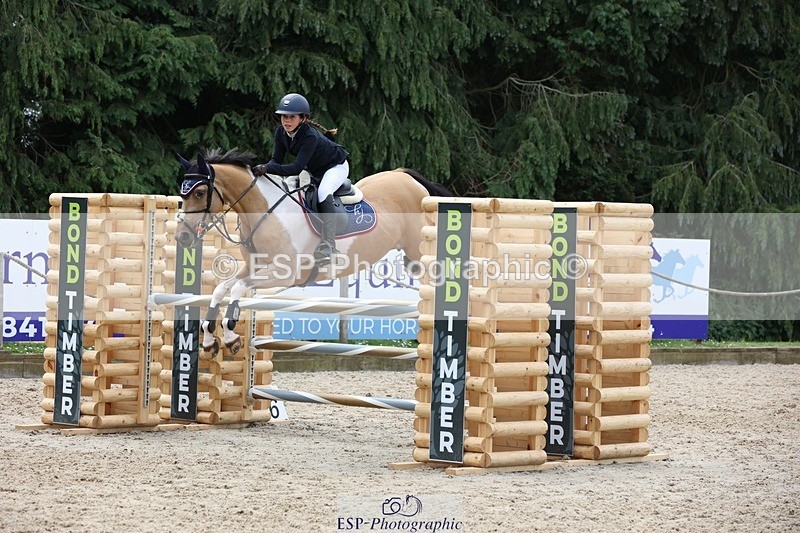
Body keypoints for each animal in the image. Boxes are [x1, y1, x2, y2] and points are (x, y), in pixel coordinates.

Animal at [175, 148, 452, 355]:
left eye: (199, 192)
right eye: (182, 194)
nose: (182, 237)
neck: (264, 210)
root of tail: (406, 177)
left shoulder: (284, 274)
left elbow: (237, 288)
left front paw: (230, 334)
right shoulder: (254, 267)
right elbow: (222, 288)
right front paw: (210, 339)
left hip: (419, 251)